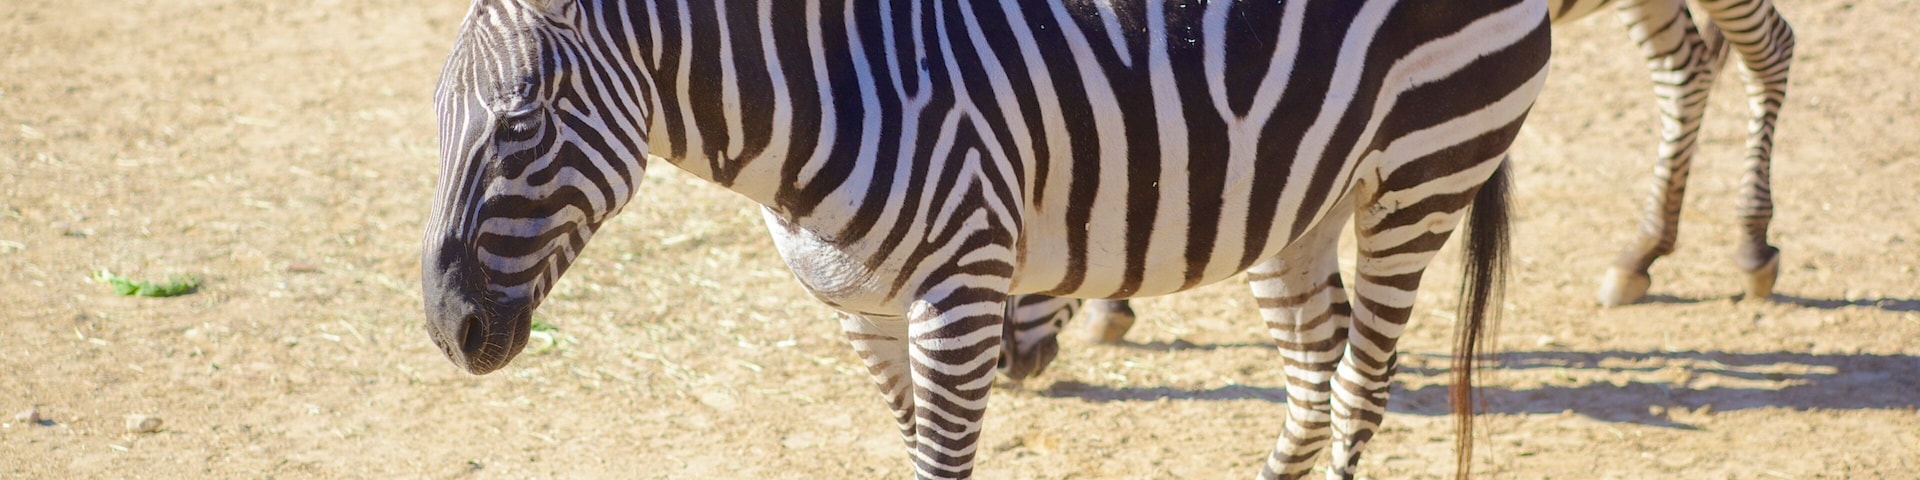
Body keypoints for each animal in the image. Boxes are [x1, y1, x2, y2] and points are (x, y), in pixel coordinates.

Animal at [419, 0, 1552, 478]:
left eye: (519, 121)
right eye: (437, 118)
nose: (445, 328)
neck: (830, 92)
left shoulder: (961, 292)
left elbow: (945, 462)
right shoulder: (860, 309)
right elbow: (911, 442)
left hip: (1419, 177)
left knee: (1360, 384)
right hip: (1298, 200)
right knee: (1314, 372)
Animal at [1001, 0, 1797, 368]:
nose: (1011, 357)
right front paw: (1112, 307)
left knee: (1771, 47)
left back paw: (1752, 244)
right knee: (1685, 65)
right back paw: (1644, 250)